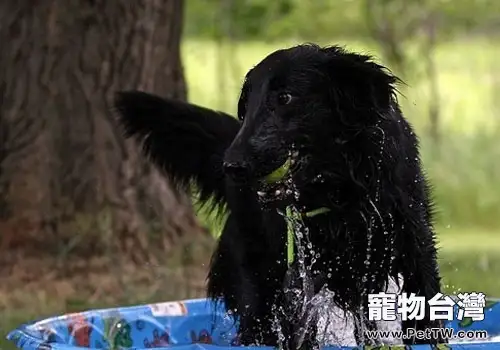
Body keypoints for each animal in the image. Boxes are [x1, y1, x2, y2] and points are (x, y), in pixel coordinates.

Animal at [114, 43, 446, 348]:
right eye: (247, 105)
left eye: (284, 98)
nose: (232, 166)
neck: (340, 189)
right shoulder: (300, 276)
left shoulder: (413, 243)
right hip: (257, 279)